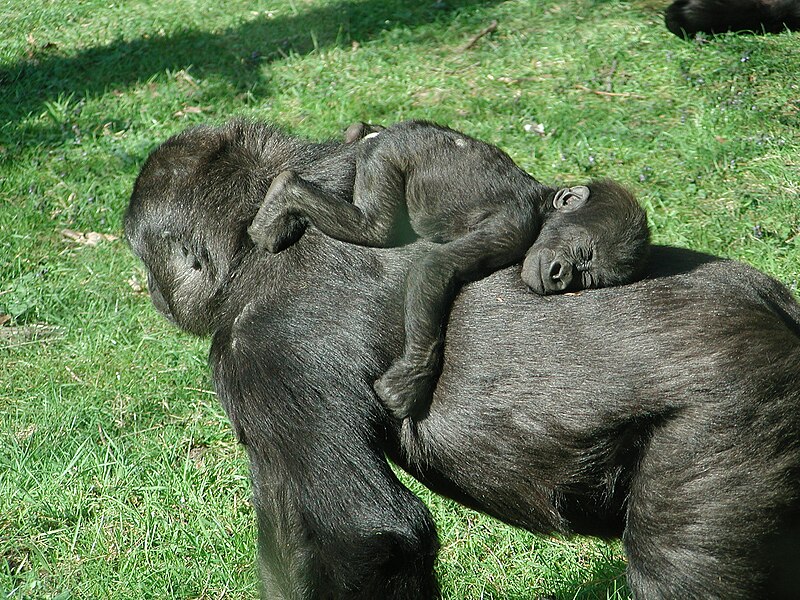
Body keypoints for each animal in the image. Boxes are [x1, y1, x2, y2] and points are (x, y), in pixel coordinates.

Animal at [248, 120, 648, 422]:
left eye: (589, 276)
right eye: (581, 253)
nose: (561, 274)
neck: (542, 206)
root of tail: (396, 130)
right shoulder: (510, 228)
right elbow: (436, 266)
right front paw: (413, 379)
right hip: (387, 157)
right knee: (375, 227)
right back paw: (284, 192)